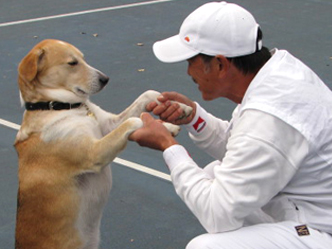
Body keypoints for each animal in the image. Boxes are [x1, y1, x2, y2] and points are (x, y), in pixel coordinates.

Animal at [14, 39, 192, 249]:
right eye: (72, 63)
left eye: (83, 58)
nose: (105, 79)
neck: (62, 107)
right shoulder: (94, 153)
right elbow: (133, 121)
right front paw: (160, 126)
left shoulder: (109, 125)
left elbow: (148, 95)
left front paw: (179, 109)